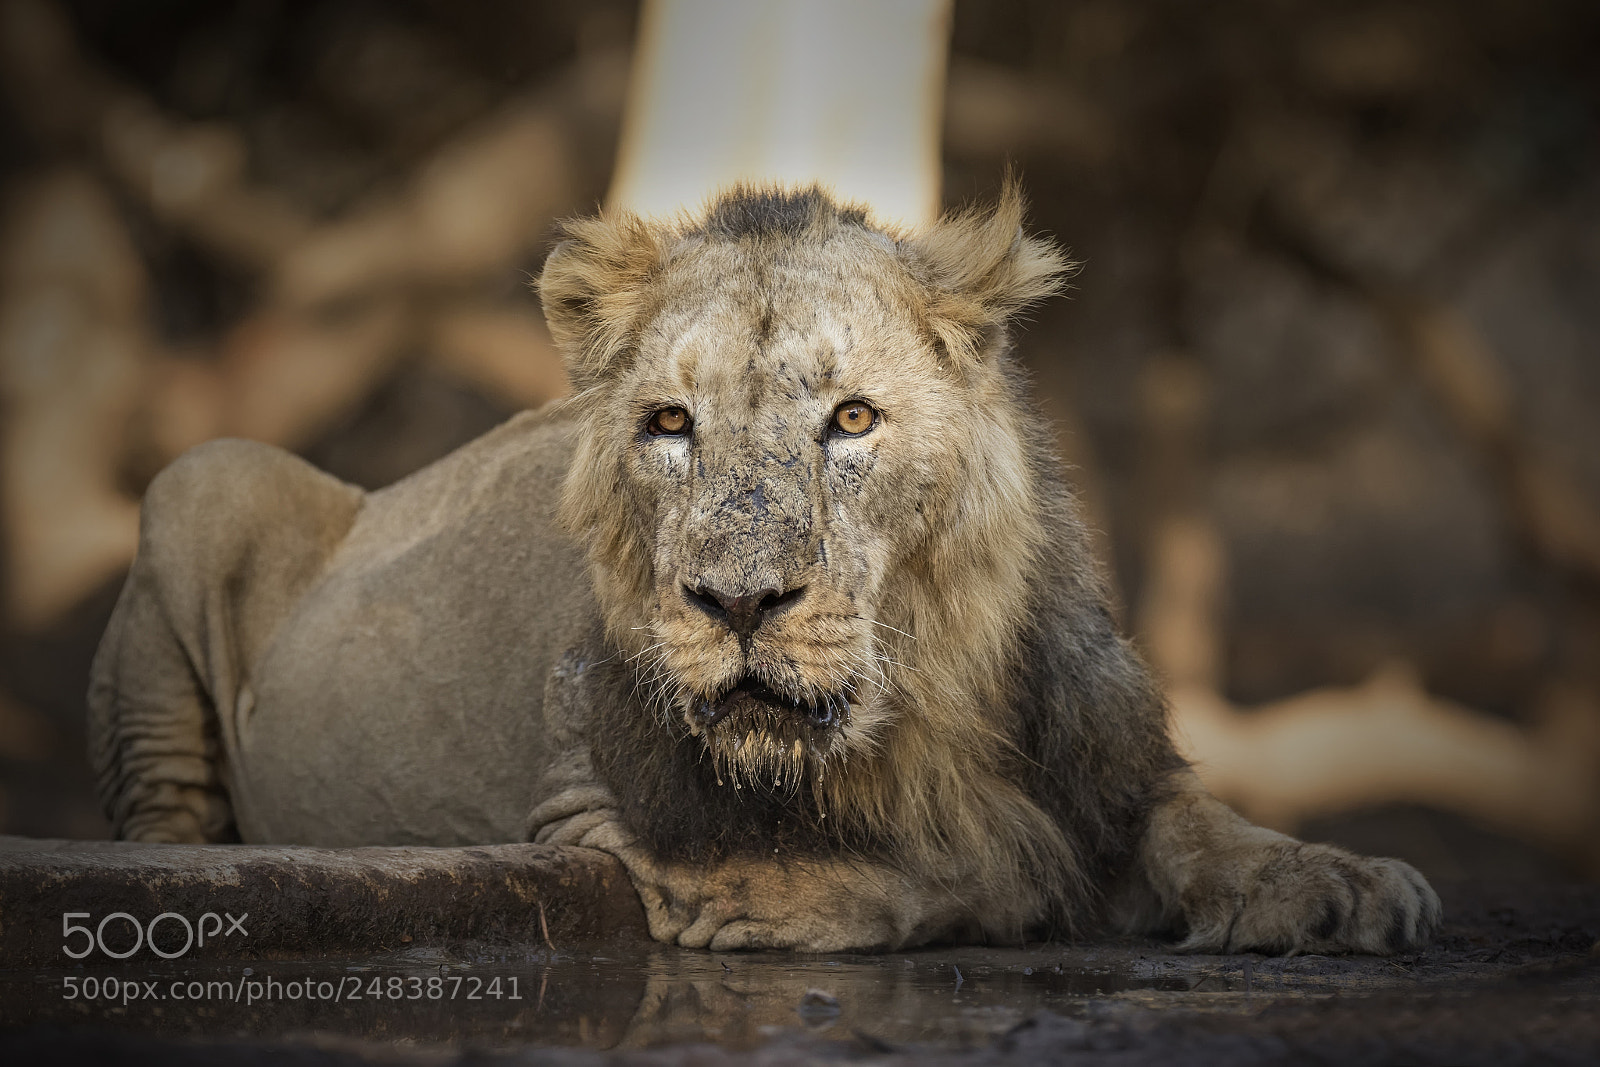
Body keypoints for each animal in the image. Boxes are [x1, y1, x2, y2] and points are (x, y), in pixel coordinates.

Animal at [88, 181, 1441, 954]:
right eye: (668, 423)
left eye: (851, 419)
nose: (738, 601)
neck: (920, 698)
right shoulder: (591, 810)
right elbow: (958, 851)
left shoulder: (1109, 762)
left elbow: (1195, 821)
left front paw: (1340, 881)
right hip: (201, 477)